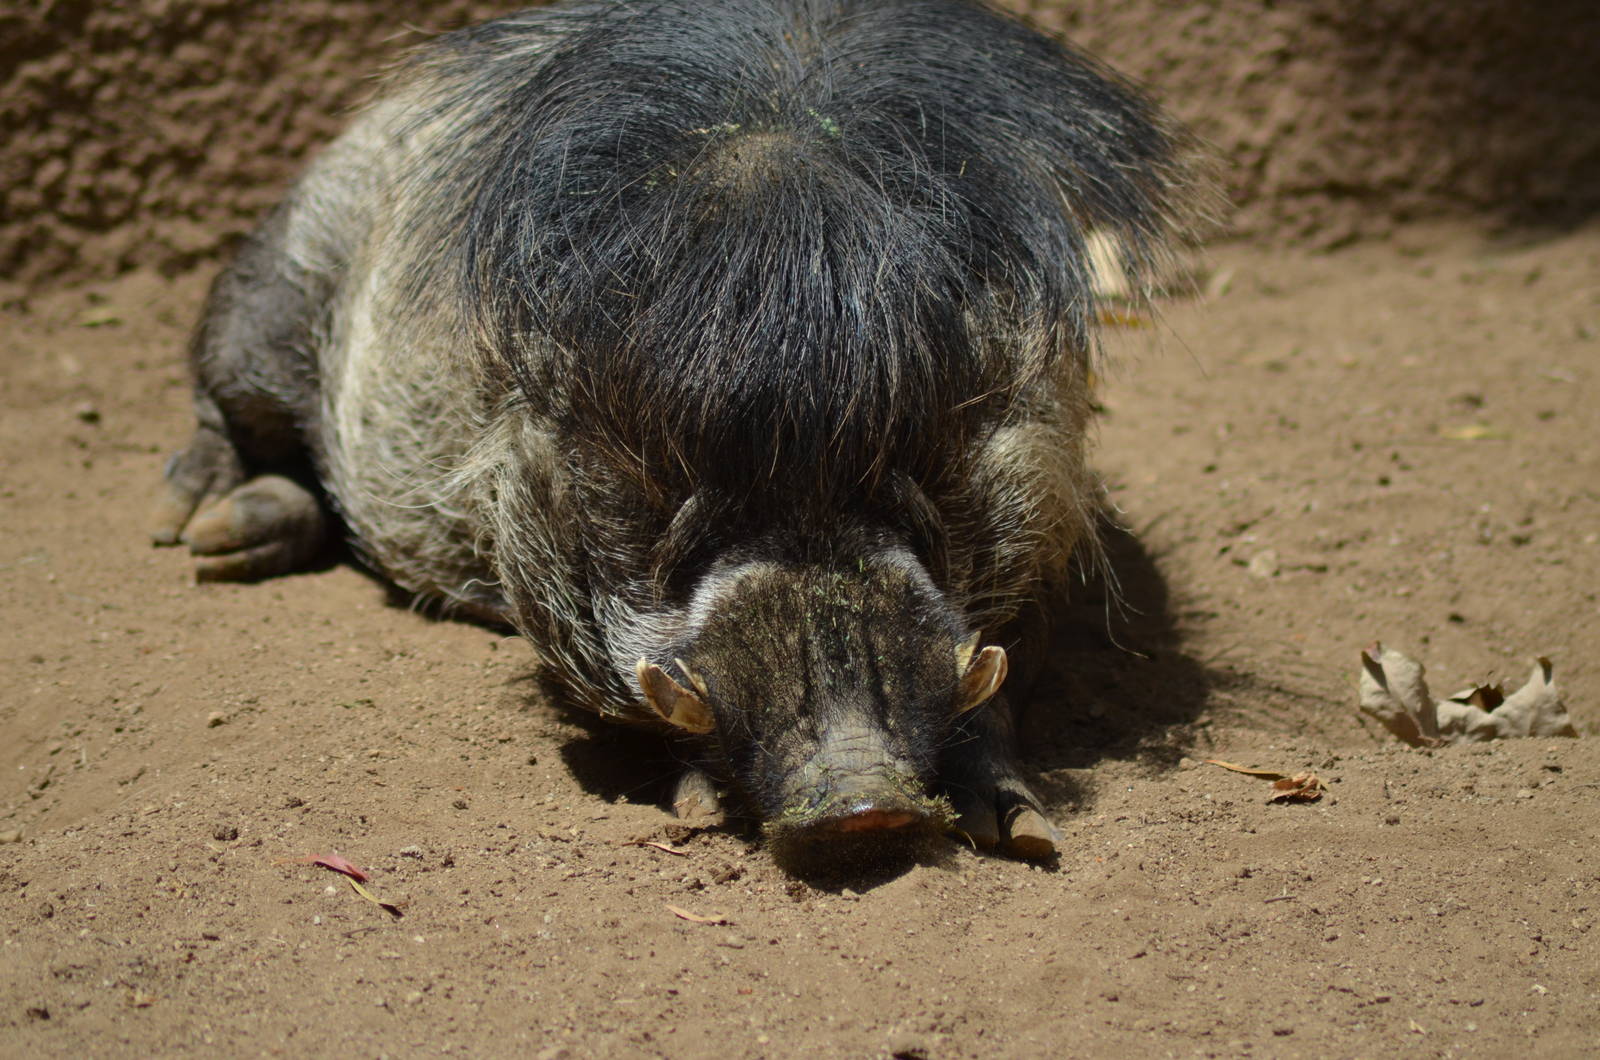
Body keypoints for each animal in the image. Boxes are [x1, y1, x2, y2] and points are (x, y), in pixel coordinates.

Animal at [151, 0, 1202, 865]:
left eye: (926, 460)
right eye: (668, 488)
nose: (862, 806)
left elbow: (1002, 674)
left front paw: (1025, 836)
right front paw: (697, 809)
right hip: (269, 297)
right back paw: (190, 532)